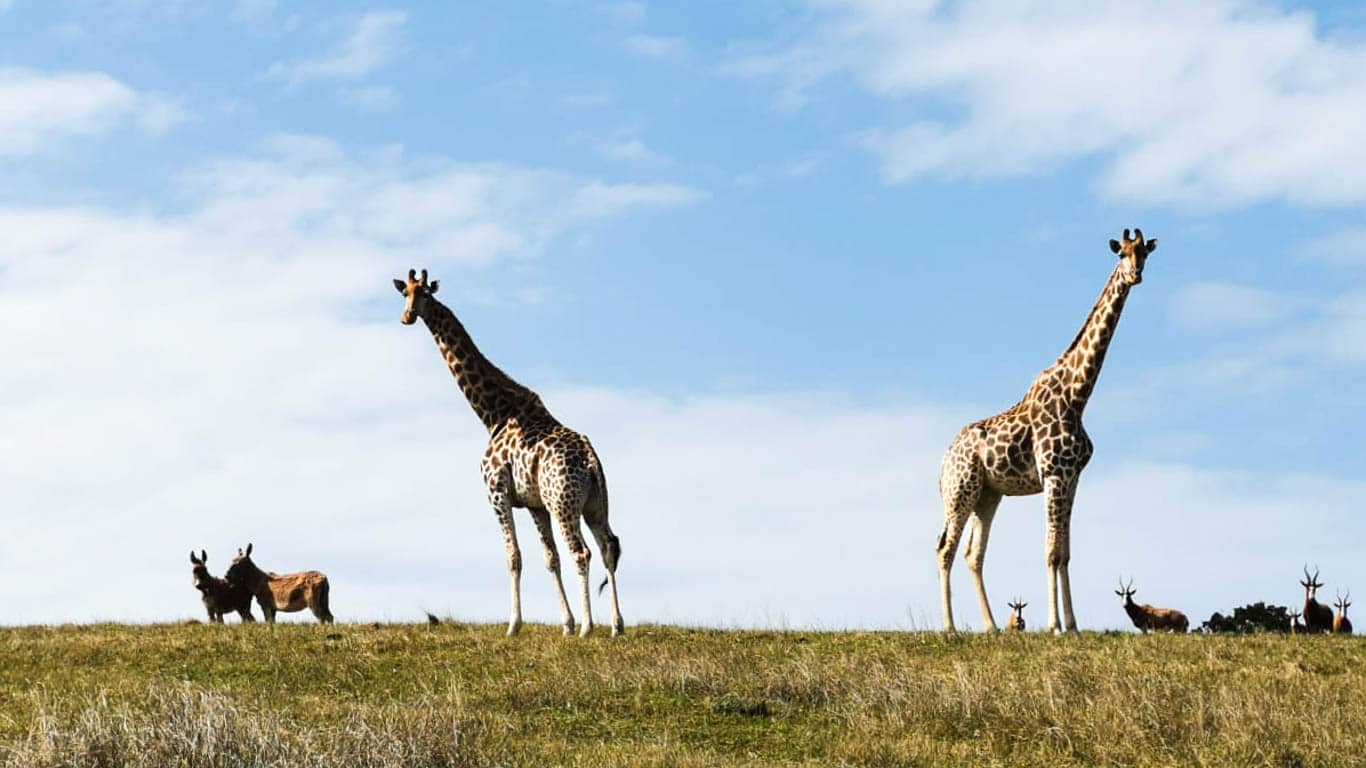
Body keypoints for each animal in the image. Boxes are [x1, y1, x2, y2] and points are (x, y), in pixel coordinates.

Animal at [396, 266, 625, 636]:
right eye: (406, 293)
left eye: (425, 293)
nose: (407, 317)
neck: (494, 413)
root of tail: (591, 461)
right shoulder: (535, 504)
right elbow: (549, 559)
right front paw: (565, 624)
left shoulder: (497, 492)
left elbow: (513, 556)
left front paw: (514, 625)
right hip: (594, 504)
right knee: (608, 546)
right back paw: (617, 626)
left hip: (564, 503)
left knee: (582, 553)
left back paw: (590, 628)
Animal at [939, 225, 1152, 628]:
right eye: (1121, 253)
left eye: (1144, 253)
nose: (1135, 275)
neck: (1077, 394)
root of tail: (942, 463)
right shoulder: (1053, 474)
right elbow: (1051, 551)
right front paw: (1055, 626)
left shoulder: (1072, 477)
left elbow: (1065, 552)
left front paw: (1073, 626)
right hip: (960, 491)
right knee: (945, 548)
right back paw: (952, 629)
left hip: (988, 494)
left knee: (973, 554)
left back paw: (992, 627)